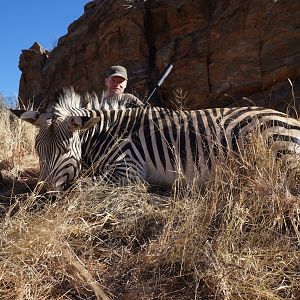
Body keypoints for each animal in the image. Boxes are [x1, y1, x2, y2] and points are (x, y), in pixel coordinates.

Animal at [9, 89, 300, 192]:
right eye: (37, 151)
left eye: (65, 149)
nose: (43, 192)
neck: (109, 133)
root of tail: (290, 118)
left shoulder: (128, 168)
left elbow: (80, 184)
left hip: (277, 145)